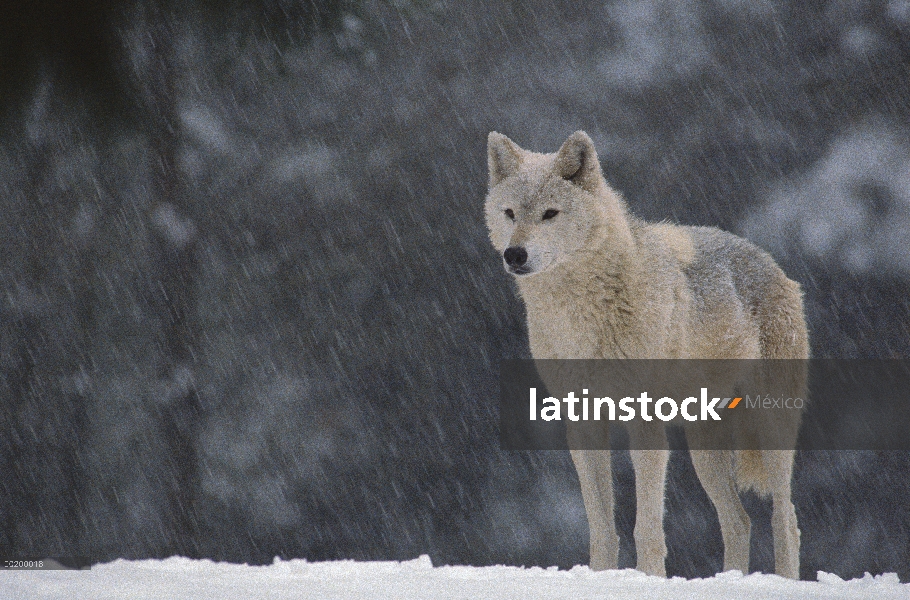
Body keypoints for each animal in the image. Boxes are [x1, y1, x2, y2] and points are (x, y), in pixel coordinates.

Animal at [484, 130, 812, 576]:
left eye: (550, 214)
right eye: (510, 213)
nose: (514, 254)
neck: (582, 312)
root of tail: (771, 262)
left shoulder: (646, 423)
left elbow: (647, 528)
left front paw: (649, 577)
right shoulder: (582, 424)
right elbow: (602, 528)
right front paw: (602, 575)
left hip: (771, 432)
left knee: (786, 520)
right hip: (704, 449)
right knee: (739, 521)